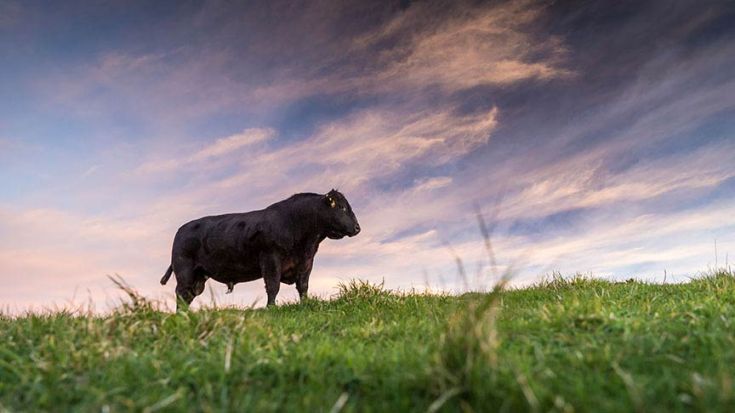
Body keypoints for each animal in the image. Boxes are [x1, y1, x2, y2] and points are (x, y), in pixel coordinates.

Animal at [160, 190, 360, 306]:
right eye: (342, 208)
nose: (358, 228)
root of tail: (182, 229)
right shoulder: (271, 259)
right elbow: (273, 286)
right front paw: (271, 308)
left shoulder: (306, 263)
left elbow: (303, 287)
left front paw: (305, 304)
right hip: (184, 270)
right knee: (181, 294)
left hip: (198, 277)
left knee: (188, 296)